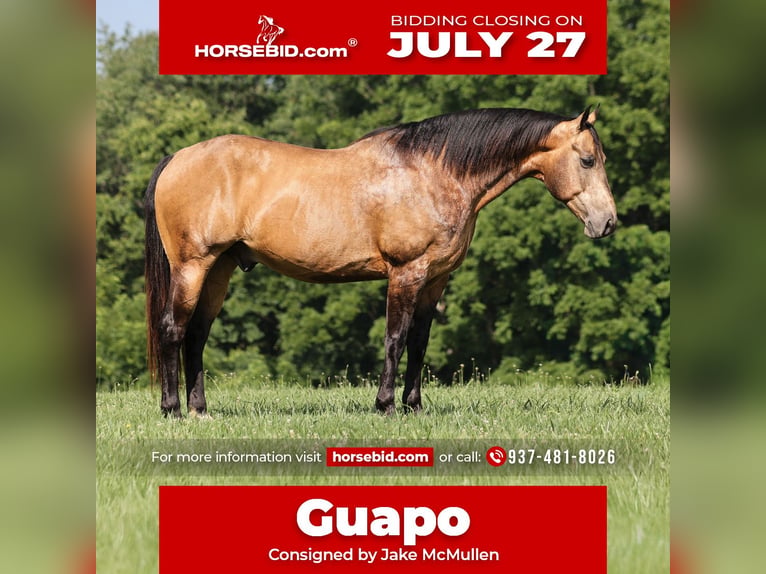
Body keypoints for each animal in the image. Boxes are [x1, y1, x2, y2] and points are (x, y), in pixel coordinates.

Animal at [144, 107, 617, 418]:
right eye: (587, 160)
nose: (608, 222)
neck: (433, 174)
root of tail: (177, 158)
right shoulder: (406, 274)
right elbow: (394, 338)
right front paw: (386, 406)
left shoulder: (435, 280)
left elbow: (419, 343)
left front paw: (415, 407)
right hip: (192, 266)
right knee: (173, 329)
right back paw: (173, 410)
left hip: (219, 270)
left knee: (196, 336)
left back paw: (200, 409)